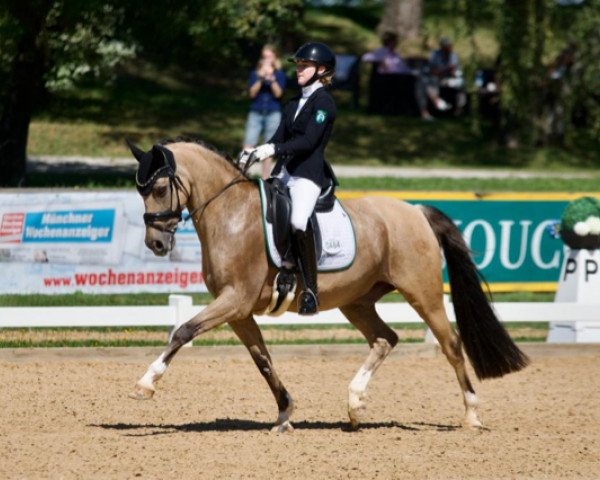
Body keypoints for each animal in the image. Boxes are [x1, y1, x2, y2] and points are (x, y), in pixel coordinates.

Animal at [127, 138, 528, 432]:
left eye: (159, 188)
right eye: (139, 190)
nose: (156, 244)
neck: (232, 215)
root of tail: (415, 210)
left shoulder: (235, 300)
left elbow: (183, 330)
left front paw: (146, 383)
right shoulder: (239, 311)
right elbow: (262, 359)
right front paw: (285, 413)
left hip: (423, 293)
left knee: (451, 345)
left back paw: (472, 415)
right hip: (357, 301)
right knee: (385, 339)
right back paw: (354, 404)